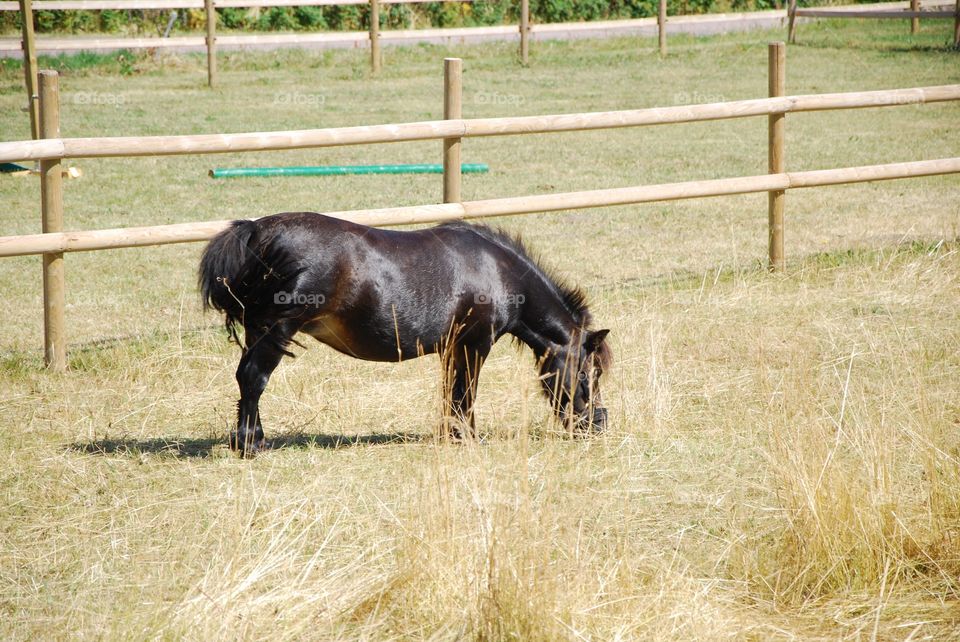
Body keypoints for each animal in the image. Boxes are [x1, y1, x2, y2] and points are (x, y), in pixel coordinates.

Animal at [199, 212, 612, 457]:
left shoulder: (453, 348)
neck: (497, 272)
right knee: (254, 379)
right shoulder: (475, 344)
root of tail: (256, 229)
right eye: (589, 373)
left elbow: (451, 392)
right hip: (276, 330)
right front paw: (468, 437)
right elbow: (466, 392)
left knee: (245, 379)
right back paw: (250, 444)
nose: (597, 424)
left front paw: (451, 434)